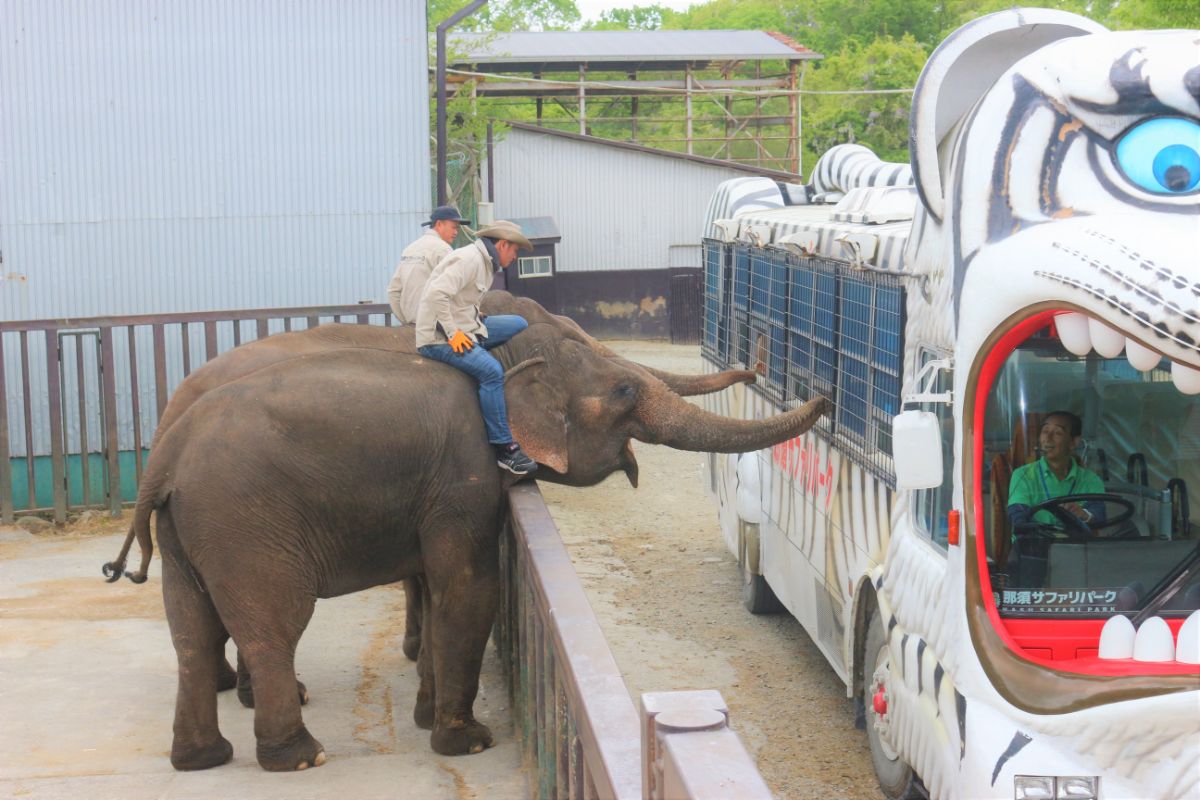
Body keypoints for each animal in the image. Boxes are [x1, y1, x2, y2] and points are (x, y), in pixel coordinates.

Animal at [108, 321, 830, 772]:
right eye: (624, 391)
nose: (825, 391)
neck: (502, 364)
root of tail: (164, 456)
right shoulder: (464, 475)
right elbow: (467, 590)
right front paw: (470, 744)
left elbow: (438, 587)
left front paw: (429, 715)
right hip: (247, 524)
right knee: (271, 626)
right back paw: (301, 756)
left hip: (190, 531)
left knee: (192, 633)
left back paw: (202, 759)